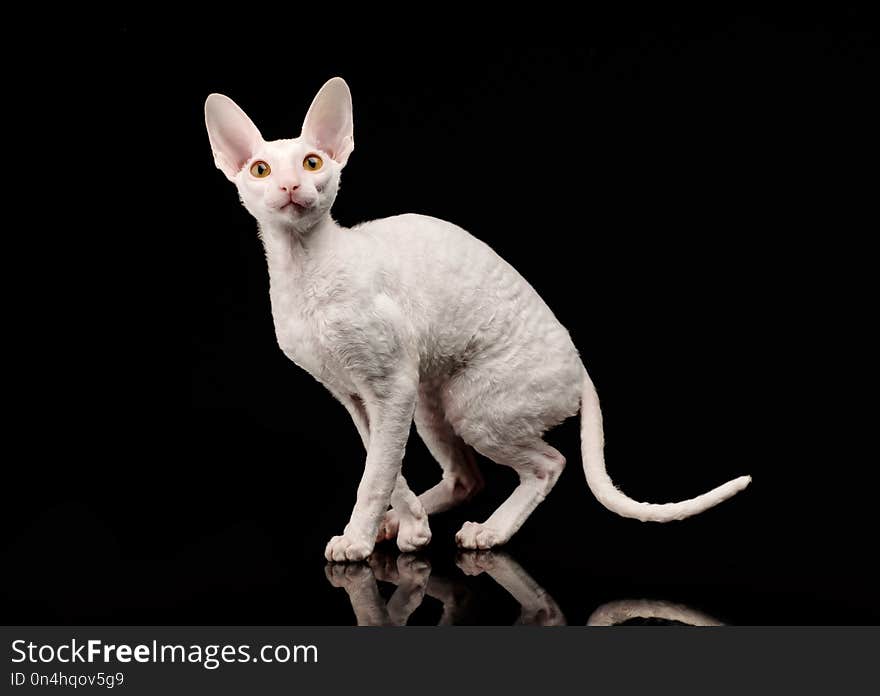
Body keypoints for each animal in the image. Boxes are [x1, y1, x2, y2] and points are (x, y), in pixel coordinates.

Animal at [205, 79, 748, 564]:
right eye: (260, 169)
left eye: (312, 163)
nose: (290, 186)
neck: (306, 268)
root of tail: (580, 370)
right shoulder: (354, 392)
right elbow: (385, 463)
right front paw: (408, 527)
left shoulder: (390, 383)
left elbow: (377, 473)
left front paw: (358, 541)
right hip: (431, 400)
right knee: (468, 478)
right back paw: (407, 522)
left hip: (475, 406)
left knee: (549, 464)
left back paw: (490, 532)